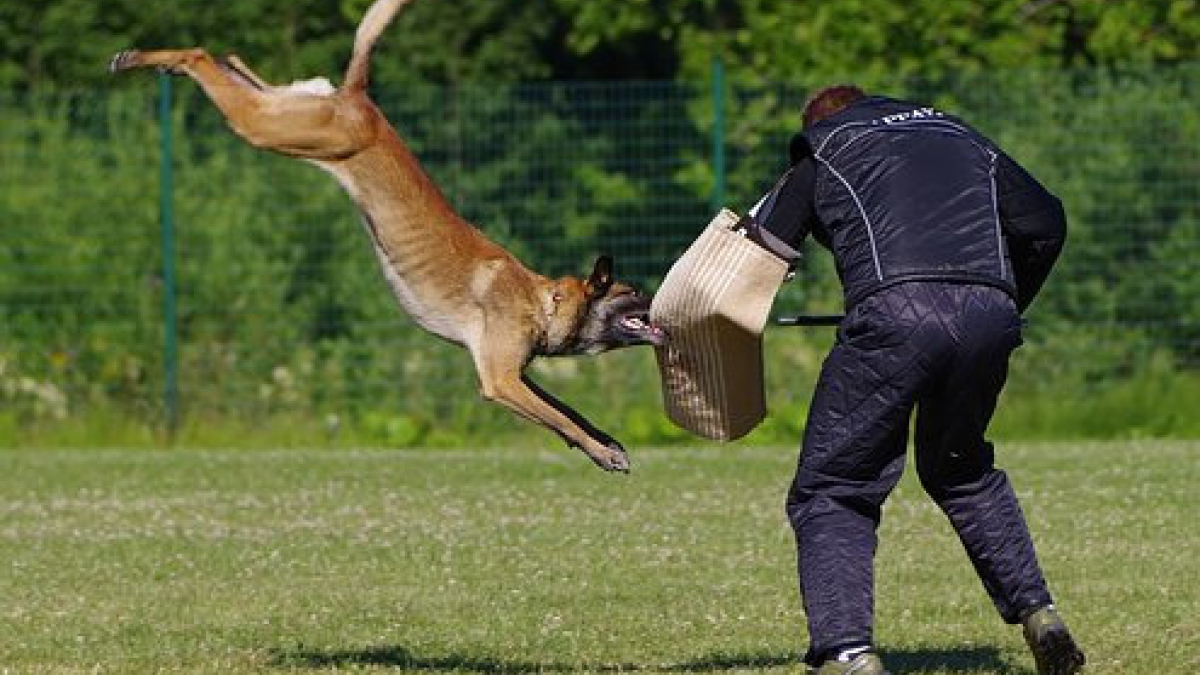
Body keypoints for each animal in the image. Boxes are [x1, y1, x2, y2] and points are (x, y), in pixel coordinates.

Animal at [109, 0, 667, 470]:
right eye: (636, 293)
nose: (665, 305)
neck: (544, 300)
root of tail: (360, 99)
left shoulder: (514, 373)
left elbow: (568, 411)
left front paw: (604, 441)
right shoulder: (501, 379)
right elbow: (557, 417)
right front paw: (603, 452)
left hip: (289, 108)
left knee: (234, 64)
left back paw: (170, 60)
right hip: (273, 128)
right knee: (203, 57)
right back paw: (139, 57)